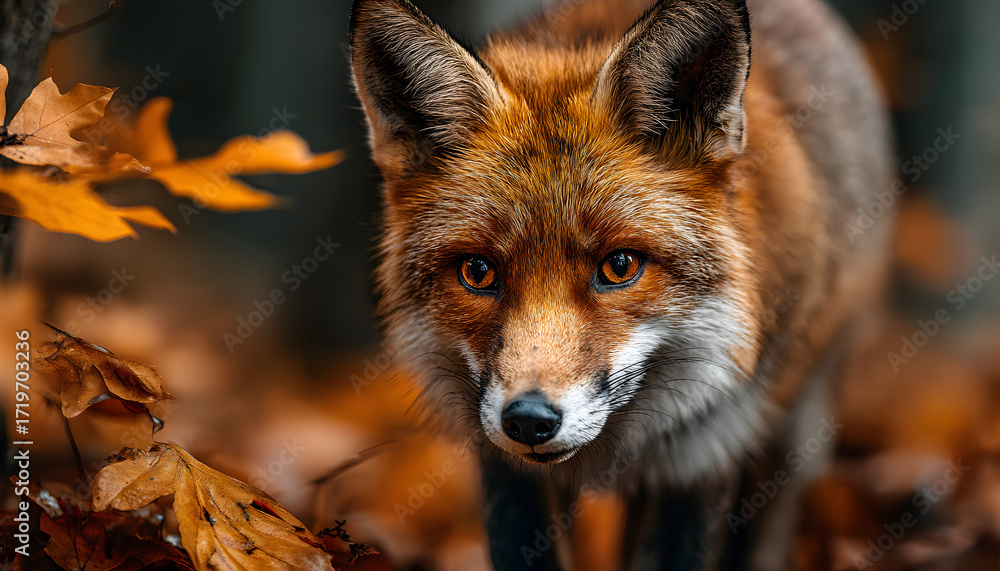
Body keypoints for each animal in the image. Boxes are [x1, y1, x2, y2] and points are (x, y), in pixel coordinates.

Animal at [349, 0, 893, 568]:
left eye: (619, 266)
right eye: (478, 272)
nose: (529, 420)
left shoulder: (703, 456)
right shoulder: (506, 472)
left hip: (794, 434)